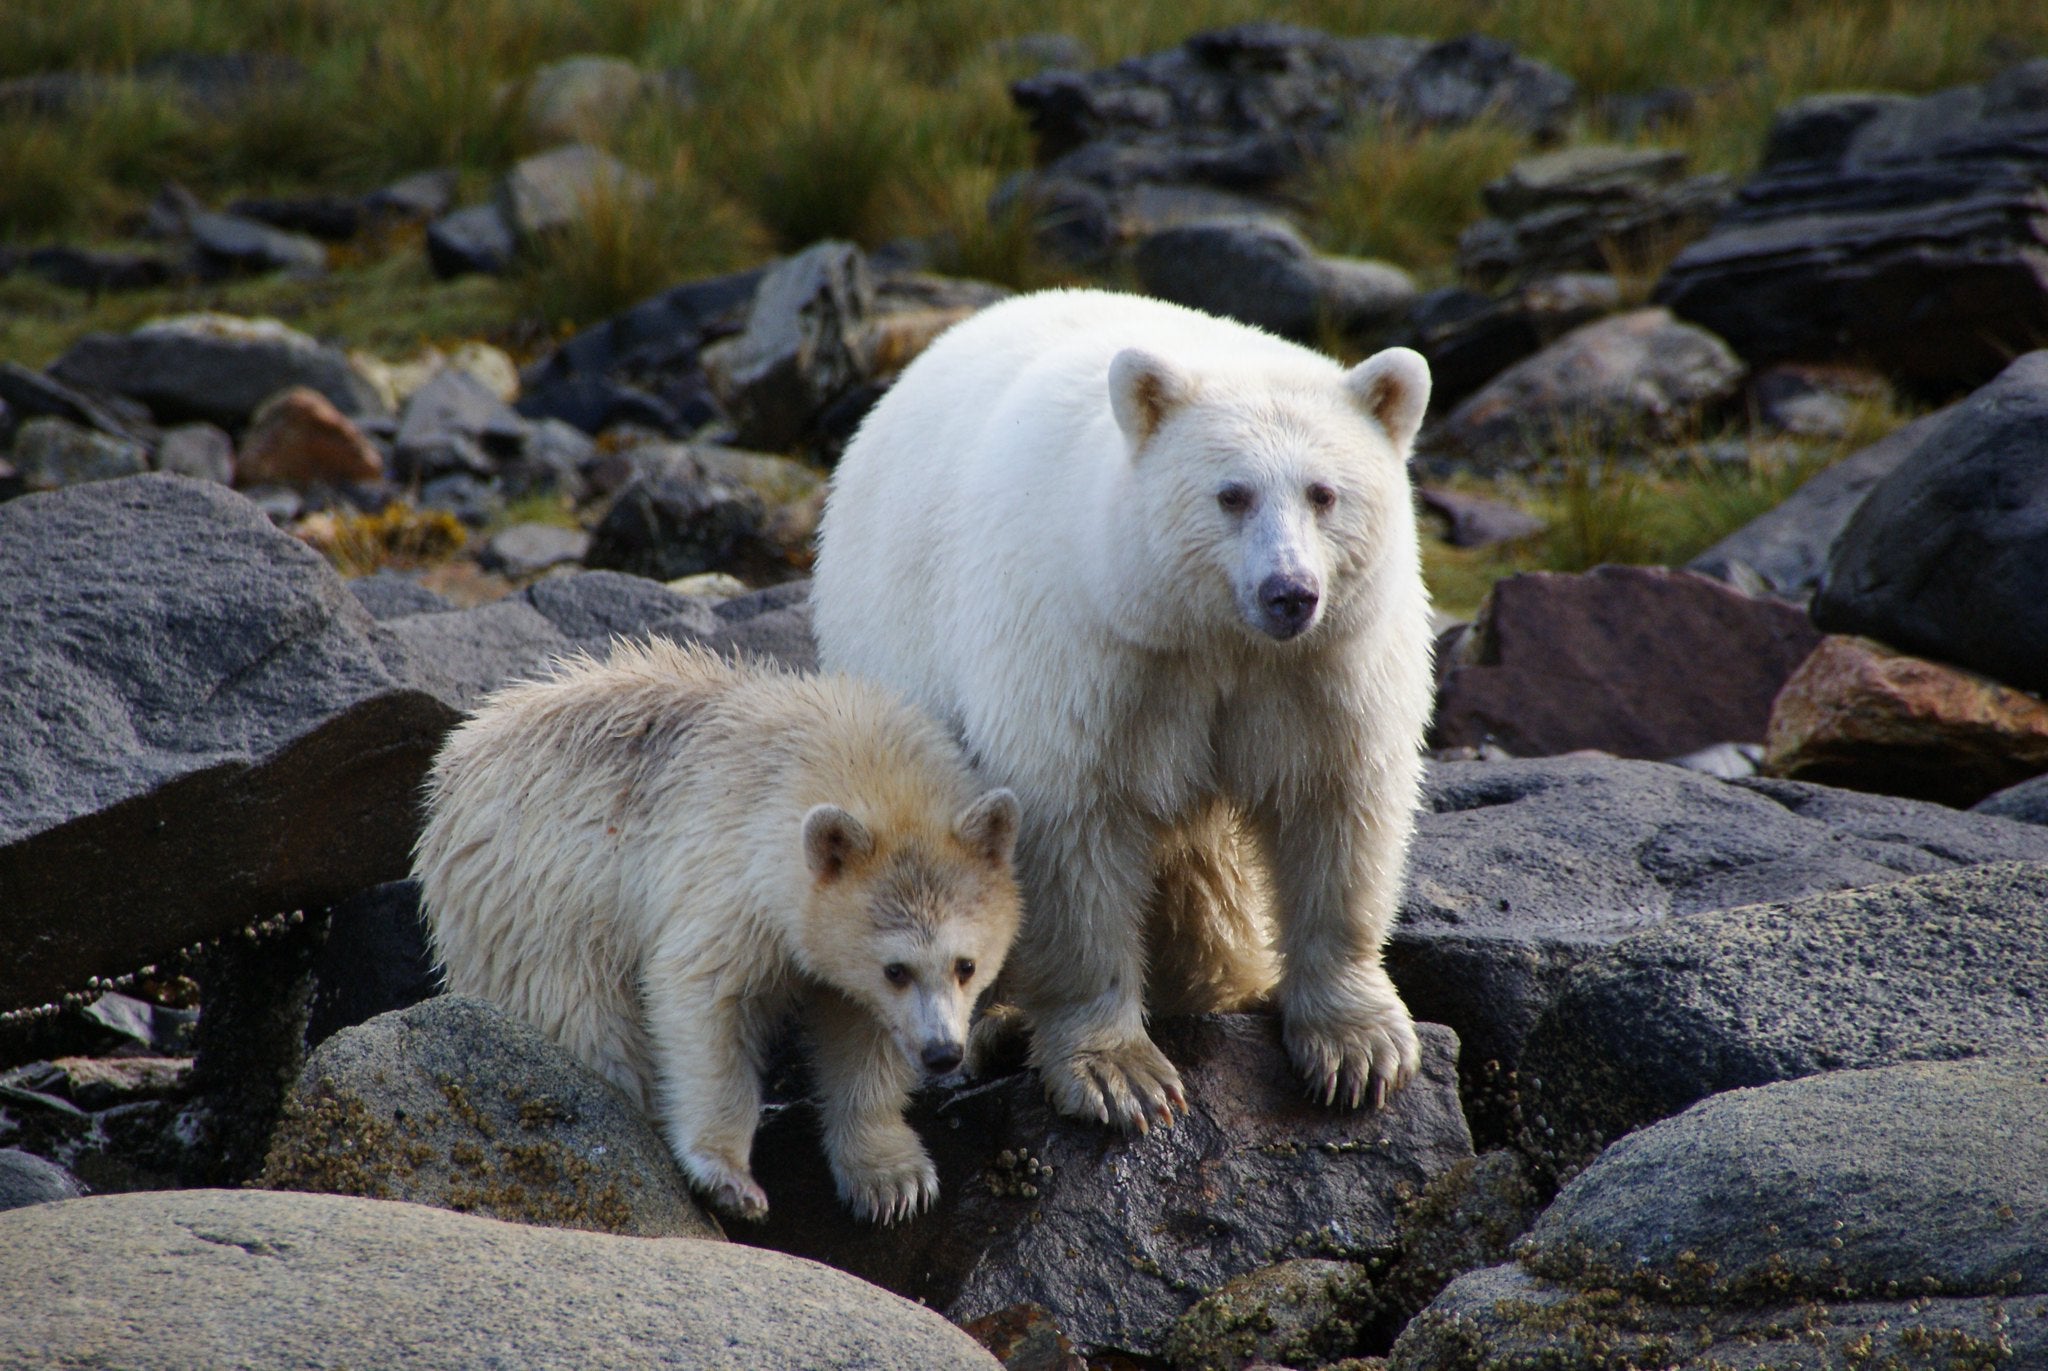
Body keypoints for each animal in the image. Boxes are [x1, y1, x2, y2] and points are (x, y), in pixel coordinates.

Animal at [413, 637, 1023, 1223]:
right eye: (895, 970)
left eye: (966, 965)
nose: (943, 1053)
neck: (835, 752)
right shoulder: (730, 873)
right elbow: (705, 998)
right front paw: (729, 1178)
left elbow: (863, 1033)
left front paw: (893, 1181)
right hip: (537, 902)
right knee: (585, 1017)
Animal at [811, 288, 1434, 1132]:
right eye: (1231, 494)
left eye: (1324, 492)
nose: (1290, 592)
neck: (1212, 636)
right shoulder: (1094, 652)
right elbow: (1073, 827)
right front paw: (1119, 1073)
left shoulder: (1322, 668)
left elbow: (1338, 808)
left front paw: (1359, 1047)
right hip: (894, 645)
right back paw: (993, 1022)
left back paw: (1221, 973)